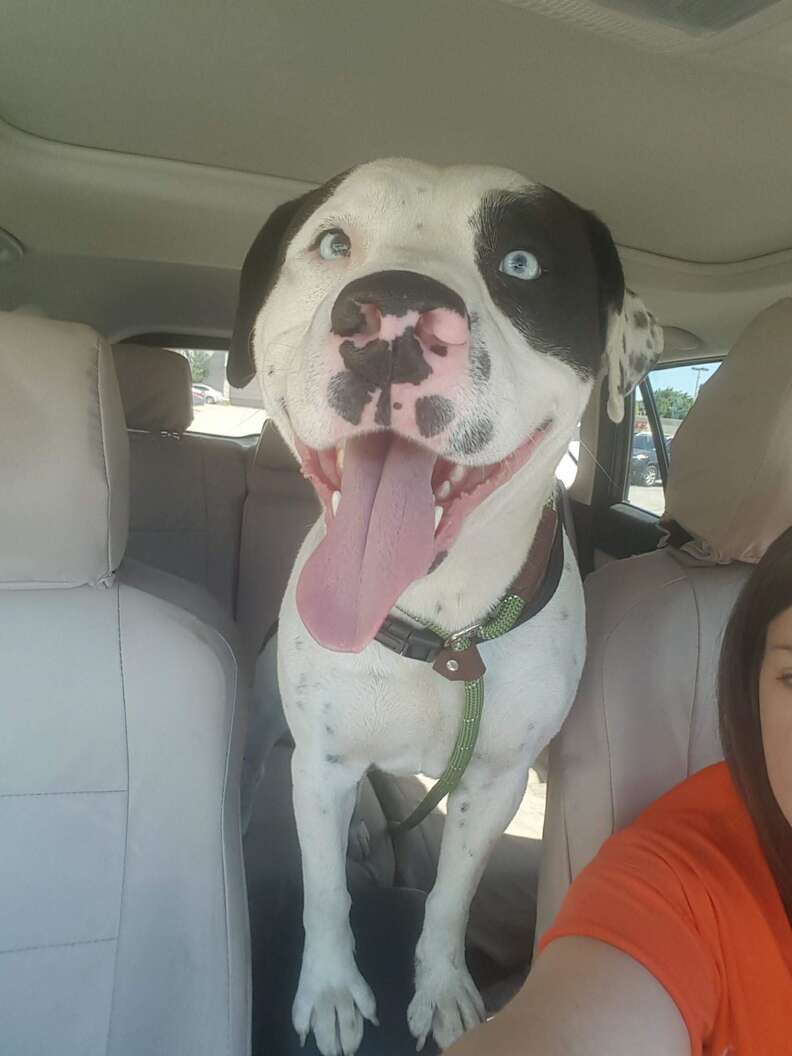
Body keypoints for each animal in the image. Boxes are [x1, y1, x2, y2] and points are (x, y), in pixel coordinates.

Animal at [231, 156, 663, 1056]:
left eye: (522, 265)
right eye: (333, 242)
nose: (391, 311)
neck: (442, 624)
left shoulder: (496, 780)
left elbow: (453, 897)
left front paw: (441, 990)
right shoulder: (321, 763)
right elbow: (325, 891)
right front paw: (331, 991)